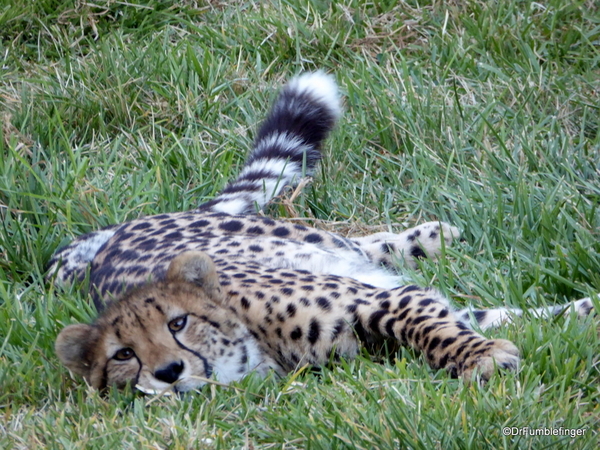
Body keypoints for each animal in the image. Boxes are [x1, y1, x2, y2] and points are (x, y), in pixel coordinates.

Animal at [52, 72, 596, 392]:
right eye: (124, 356)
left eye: (177, 323)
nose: (168, 372)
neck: (257, 346)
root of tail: (110, 240)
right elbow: (471, 319)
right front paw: (565, 318)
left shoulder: (381, 300)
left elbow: (432, 327)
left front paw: (483, 357)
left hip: (303, 238)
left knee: (364, 244)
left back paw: (431, 236)